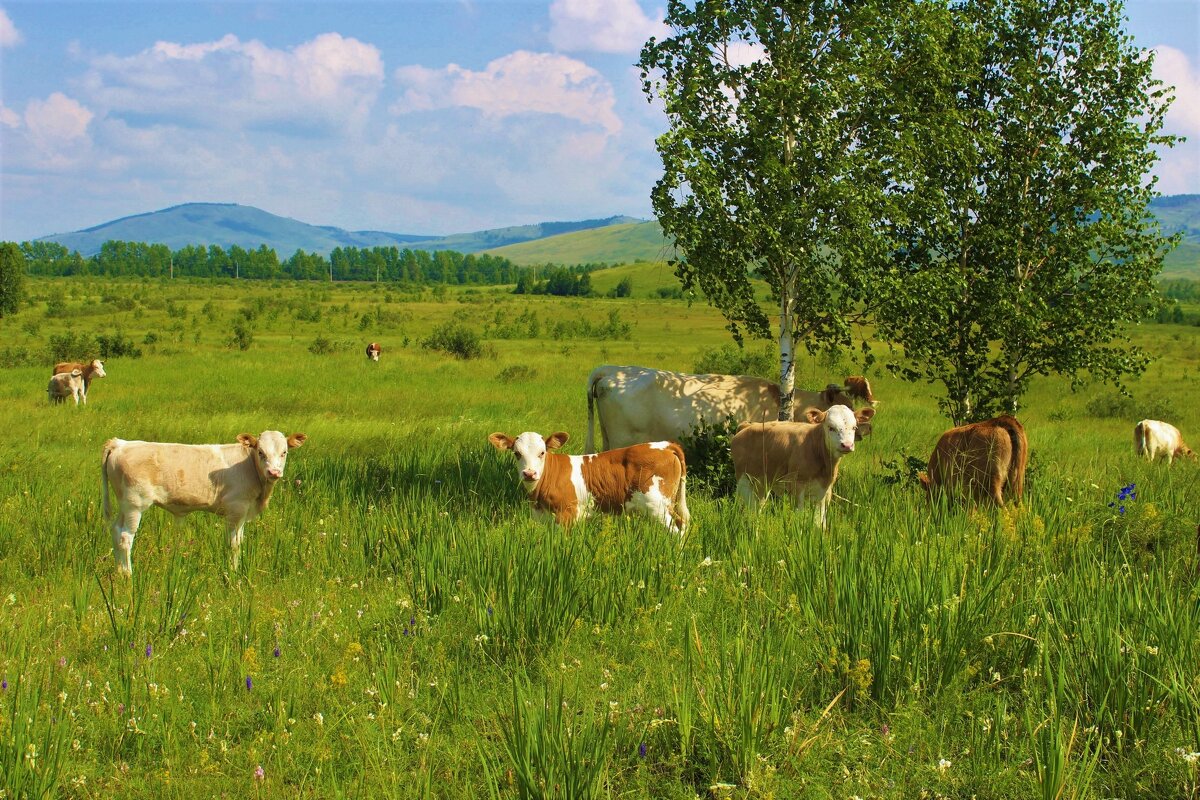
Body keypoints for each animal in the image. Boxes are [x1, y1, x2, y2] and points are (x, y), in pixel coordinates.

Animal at [101, 431, 307, 575]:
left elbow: (240, 541)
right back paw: (129, 575)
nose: (274, 472)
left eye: (284, 452)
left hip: (124, 504)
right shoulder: (235, 510)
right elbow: (233, 544)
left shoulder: (243, 513)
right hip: (134, 504)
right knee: (125, 537)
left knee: (115, 530)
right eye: (261, 452)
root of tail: (120, 443)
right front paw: (233, 573)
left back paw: (120, 572)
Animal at [489, 429, 696, 534]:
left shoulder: (567, 515)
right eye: (517, 454)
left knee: (677, 527)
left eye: (542, 452)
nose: (529, 473)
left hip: (658, 505)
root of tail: (665, 445)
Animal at [724, 407, 878, 525]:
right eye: (831, 427)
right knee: (747, 509)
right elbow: (800, 517)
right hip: (744, 480)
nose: (846, 445)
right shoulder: (797, 487)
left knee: (758, 509)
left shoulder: (825, 491)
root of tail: (747, 426)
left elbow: (820, 521)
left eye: (854, 427)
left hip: (762, 484)